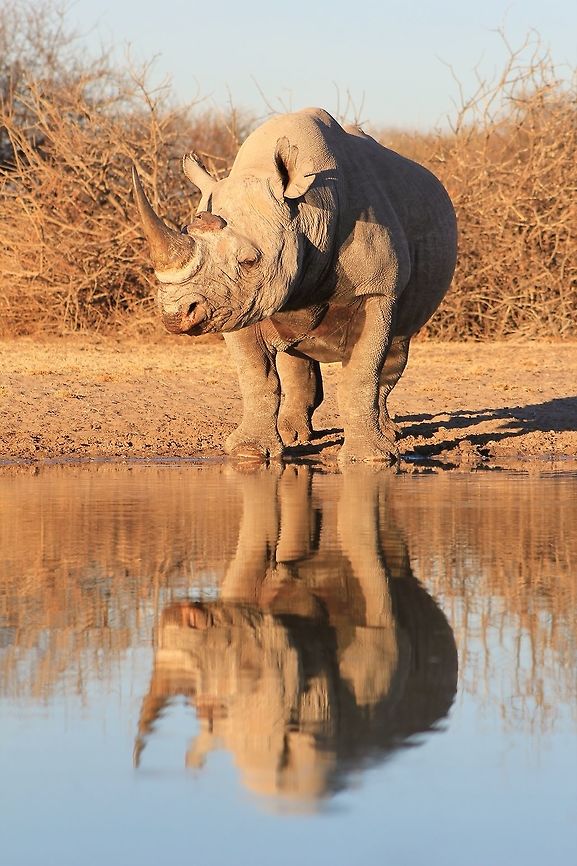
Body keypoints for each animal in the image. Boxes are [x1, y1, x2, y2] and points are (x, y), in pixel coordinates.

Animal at [132, 108, 457, 462]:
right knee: (295, 353)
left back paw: (389, 435)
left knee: (395, 350)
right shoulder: (236, 301)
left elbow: (361, 375)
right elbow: (256, 377)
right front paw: (249, 452)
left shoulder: (377, 291)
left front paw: (370, 459)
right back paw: (294, 435)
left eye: (249, 261)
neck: (307, 211)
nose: (176, 315)